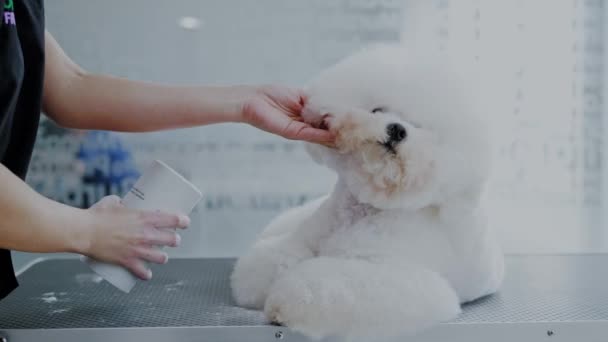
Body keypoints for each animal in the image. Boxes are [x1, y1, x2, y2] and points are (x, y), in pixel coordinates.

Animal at [228, 41, 504, 338]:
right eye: (377, 110)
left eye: (420, 127)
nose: (397, 129)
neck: (362, 210)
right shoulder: (302, 240)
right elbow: (273, 259)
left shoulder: (394, 278)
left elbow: (324, 284)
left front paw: (284, 302)